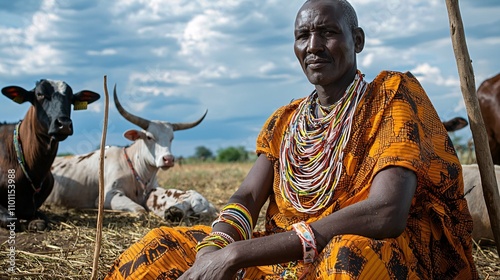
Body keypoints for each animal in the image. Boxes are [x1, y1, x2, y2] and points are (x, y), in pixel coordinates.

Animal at [0, 80, 100, 231]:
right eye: (40, 94)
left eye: (71, 98)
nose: (64, 124)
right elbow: (10, 219)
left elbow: (42, 219)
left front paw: (36, 222)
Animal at [46, 85, 218, 221]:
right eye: (149, 137)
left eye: (171, 138)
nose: (168, 159)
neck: (137, 170)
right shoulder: (108, 195)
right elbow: (140, 209)